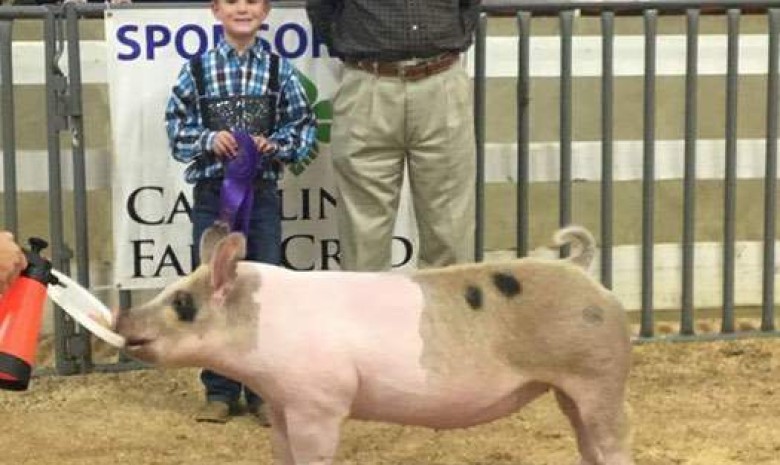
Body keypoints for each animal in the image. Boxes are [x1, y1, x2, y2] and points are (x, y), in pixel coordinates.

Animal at [119, 223, 636, 462]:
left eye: (182, 302)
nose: (123, 319)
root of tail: (581, 271)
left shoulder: (319, 401)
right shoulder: (283, 402)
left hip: (600, 376)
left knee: (614, 441)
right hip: (571, 391)